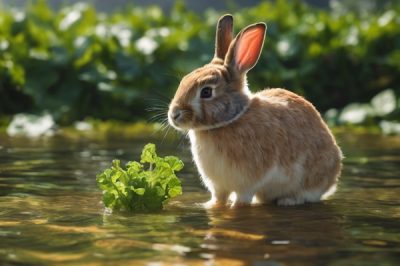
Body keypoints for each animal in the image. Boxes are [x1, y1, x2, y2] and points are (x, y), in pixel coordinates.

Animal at [167, 14, 342, 207]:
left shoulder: (247, 183)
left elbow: (242, 200)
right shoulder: (218, 186)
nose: (174, 115)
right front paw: (208, 206)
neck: (229, 121)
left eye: (206, 92)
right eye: (184, 80)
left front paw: (234, 207)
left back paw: (288, 200)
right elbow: (218, 199)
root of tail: (335, 170)